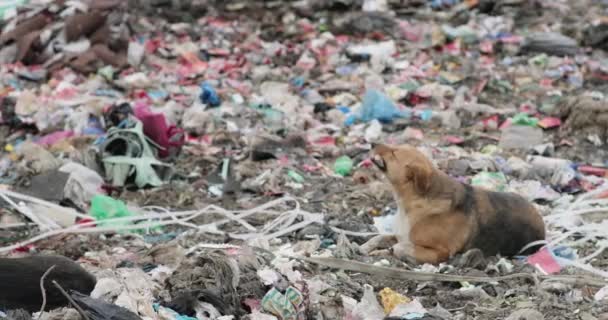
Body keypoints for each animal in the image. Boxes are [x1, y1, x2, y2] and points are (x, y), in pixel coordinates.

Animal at [360, 144, 548, 264]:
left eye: (394, 152)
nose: (372, 143)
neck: (411, 204)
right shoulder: (400, 234)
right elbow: (379, 237)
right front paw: (365, 247)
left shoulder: (440, 252)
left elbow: (399, 247)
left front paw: (392, 251)